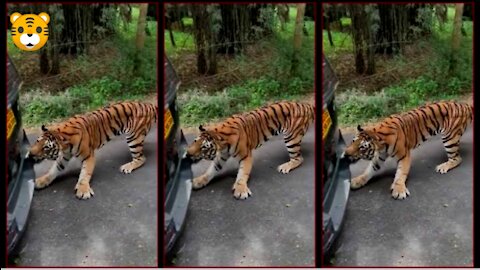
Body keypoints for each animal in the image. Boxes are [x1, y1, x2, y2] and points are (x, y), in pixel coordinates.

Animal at [25, 101, 158, 200]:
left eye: (46, 148)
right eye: (36, 141)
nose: (30, 154)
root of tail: (149, 105)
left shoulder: (88, 156)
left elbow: (85, 173)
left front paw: (83, 190)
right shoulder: (63, 156)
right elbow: (53, 170)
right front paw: (41, 181)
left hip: (134, 138)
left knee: (141, 158)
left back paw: (127, 166)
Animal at [185, 100, 316, 199]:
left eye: (203, 147)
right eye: (194, 141)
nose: (187, 154)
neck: (222, 144)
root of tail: (306, 105)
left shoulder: (245, 156)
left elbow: (243, 173)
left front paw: (241, 190)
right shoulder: (220, 156)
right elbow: (211, 170)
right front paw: (198, 181)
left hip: (291, 138)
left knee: (298, 158)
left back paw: (285, 166)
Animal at [344, 100, 474, 199]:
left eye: (361, 147)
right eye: (352, 141)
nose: (345, 154)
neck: (381, 145)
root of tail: (464, 105)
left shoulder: (403, 155)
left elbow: (401, 173)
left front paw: (399, 189)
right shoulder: (379, 156)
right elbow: (369, 170)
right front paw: (357, 181)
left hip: (449, 138)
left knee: (457, 158)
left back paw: (443, 166)